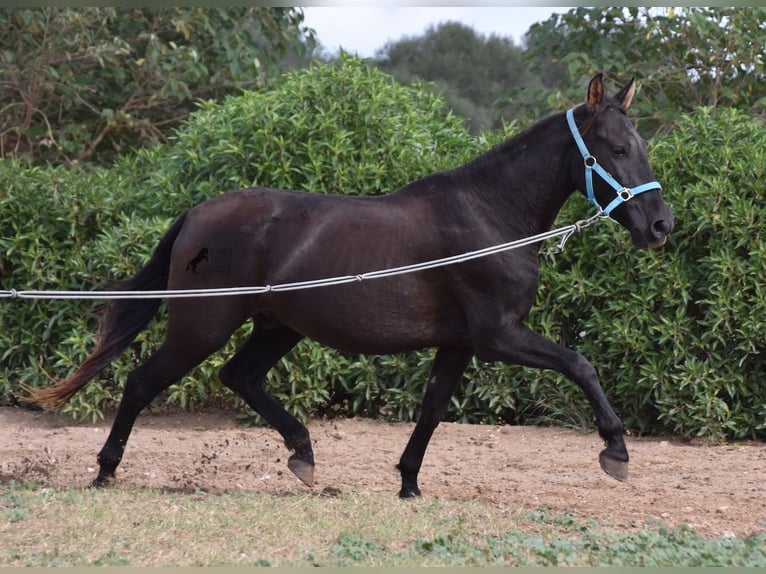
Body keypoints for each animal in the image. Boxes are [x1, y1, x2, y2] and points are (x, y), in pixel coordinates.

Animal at [28, 73, 680, 500]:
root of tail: (197, 214)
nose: (660, 226)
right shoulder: (499, 336)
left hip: (276, 327)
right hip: (202, 325)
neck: (490, 216)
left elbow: (433, 409)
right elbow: (580, 364)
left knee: (240, 378)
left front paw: (409, 483)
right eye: (617, 148)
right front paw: (616, 451)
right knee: (142, 382)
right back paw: (105, 471)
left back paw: (303, 454)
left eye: (641, 146)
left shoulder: (459, 342)